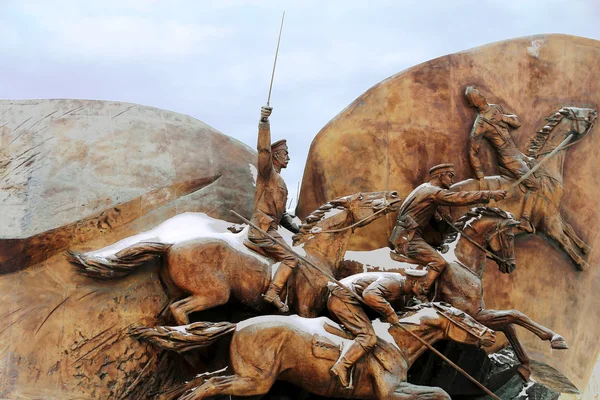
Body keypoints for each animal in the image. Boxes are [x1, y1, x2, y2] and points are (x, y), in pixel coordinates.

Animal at [69, 189, 404, 324]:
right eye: (362, 196)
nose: (394, 195)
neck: (314, 252)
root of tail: (170, 246)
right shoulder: (307, 309)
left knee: (168, 312)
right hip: (214, 293)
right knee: (180, 310)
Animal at [452, 106, 596, 270]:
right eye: (576, 113)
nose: (593, 113)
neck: (545, 169)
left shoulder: (554, 213)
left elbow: (569, 228)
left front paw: (585, 247)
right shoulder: (548, 223)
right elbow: (563, 240)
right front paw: (581, 263)